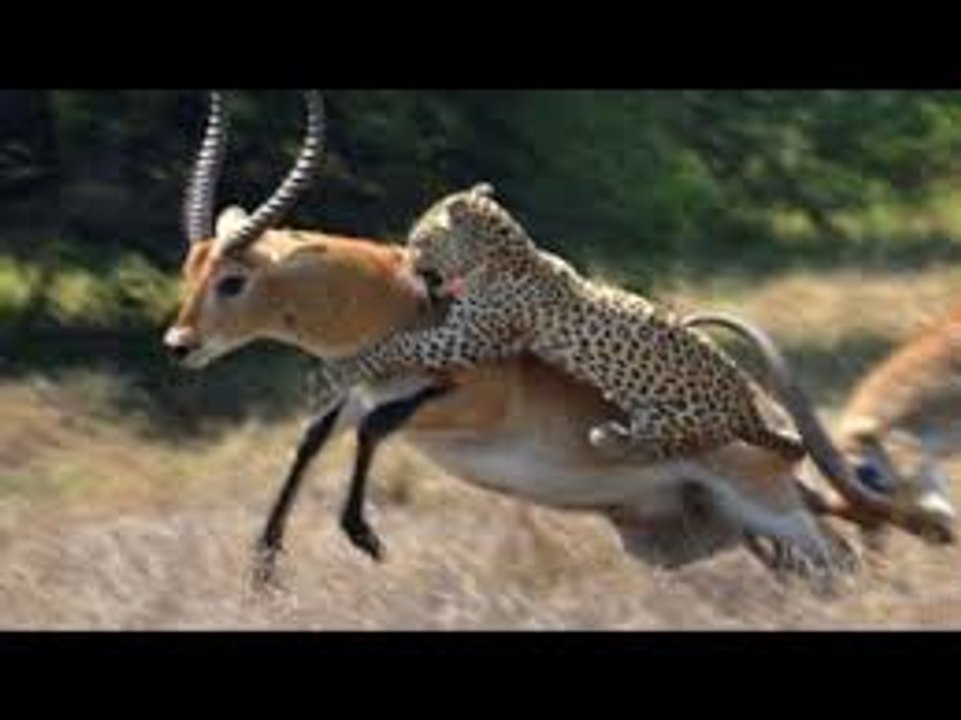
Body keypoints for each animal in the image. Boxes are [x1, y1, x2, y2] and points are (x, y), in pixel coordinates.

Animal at [317, 183, 806, 465]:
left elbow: (402, 344)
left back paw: (612, 437)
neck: (502, 255)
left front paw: (345, 369)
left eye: (421, 235)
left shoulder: (471, 338)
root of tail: (748, 405)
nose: (407, 254)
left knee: (669, 445)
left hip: (681, 417)